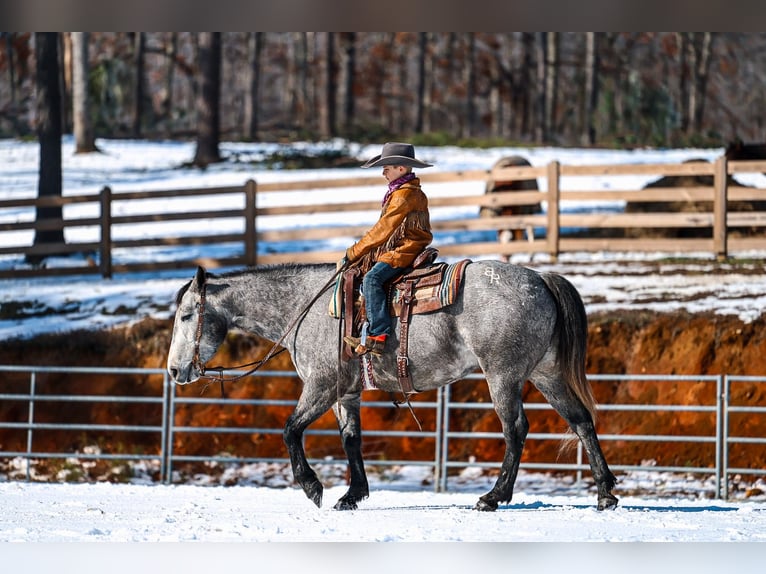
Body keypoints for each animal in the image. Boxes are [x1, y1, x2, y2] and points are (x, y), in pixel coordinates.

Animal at [166, 262, 618, 512]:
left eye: (187, 315)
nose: (173, 371)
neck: (306, 307)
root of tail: (540, 278)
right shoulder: (346, 393)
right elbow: (352, 440)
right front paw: (353, 495)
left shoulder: (321, 385)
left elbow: (290, 430)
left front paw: (313, 487)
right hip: (546, 374)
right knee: (581, 421)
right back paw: (605, 493)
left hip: (502, 376)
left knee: (516, 429)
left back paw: (493, 497)